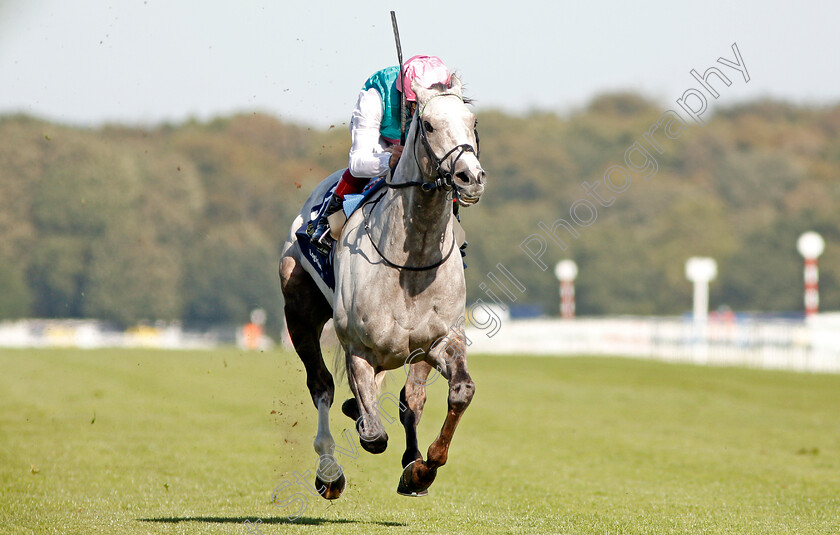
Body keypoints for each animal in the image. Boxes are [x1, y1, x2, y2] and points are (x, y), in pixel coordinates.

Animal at [278, 74, 482, 498]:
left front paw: (422, 468)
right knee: (321, 385)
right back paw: (329, 472)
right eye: (429, 125)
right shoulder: (358, 347)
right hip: (299, 310)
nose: (470, 177)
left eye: (473, 122)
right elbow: (373, 434)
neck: (412, 262)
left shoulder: (438, 341)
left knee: (407, 398)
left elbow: (456, 392)